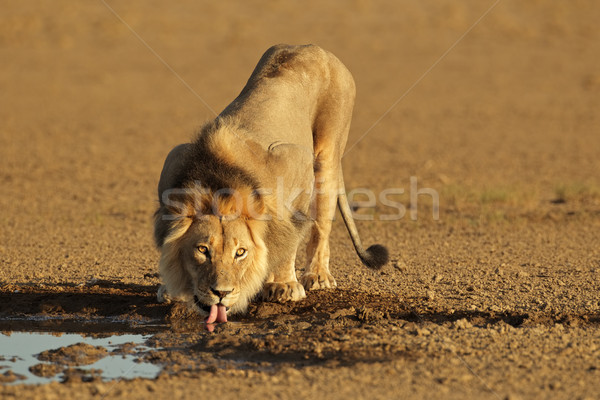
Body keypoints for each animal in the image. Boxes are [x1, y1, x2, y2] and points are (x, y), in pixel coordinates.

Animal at [154, 44, 390, 324]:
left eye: (240, 252)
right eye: (202, 250)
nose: (221, 293)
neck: (219, 182)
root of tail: (315, 48)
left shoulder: (296, 162)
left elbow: (290, 236)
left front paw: (284, 286)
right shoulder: (173, 162)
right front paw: (172, 291)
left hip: (328, 153)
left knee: (321, 224)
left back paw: (317, 276)